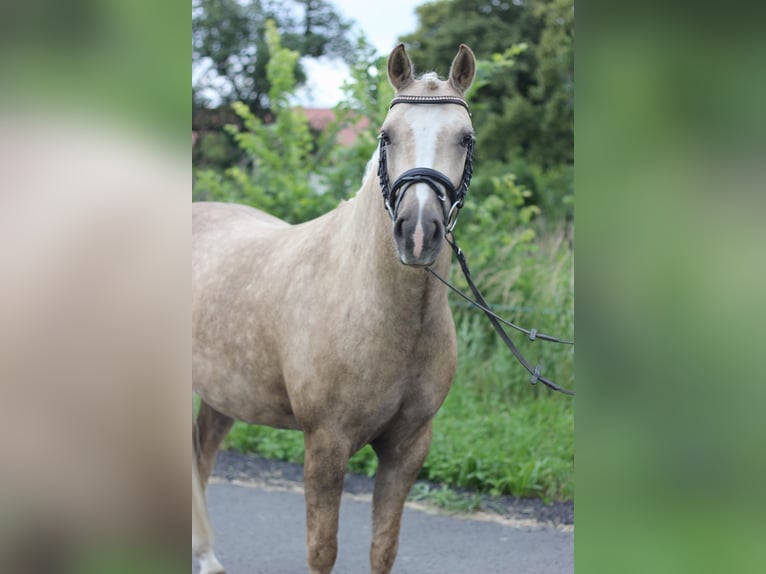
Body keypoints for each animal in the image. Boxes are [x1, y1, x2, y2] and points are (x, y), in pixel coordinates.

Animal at [192, 42, 476, 572]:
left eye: (465, 139)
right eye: (387, 136)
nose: (418, 231)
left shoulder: (408, 446)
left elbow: (383, 548)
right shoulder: (326, 443)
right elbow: (322, 550)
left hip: (222, 395)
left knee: (200, 455)